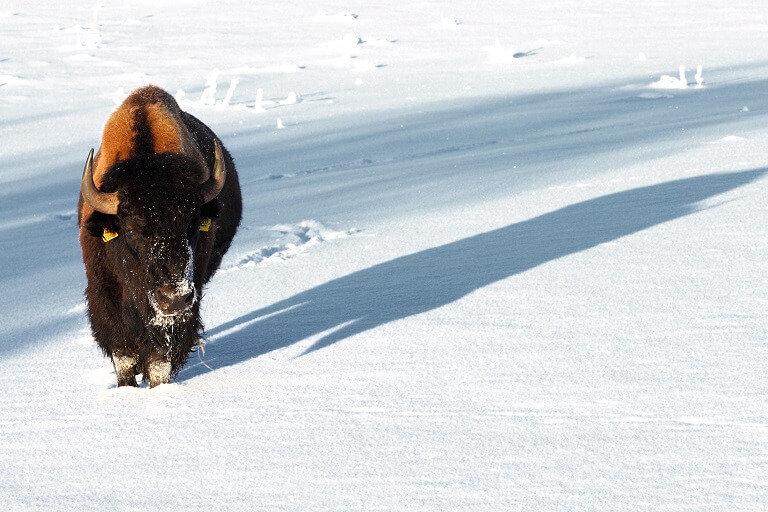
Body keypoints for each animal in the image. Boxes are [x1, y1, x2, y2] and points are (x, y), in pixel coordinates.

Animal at [78, 85, 240, 388]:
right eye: (130, 230)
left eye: (193, 224)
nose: (173, 298)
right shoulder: (103, 292)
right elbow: (123, 355)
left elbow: (159, 361)